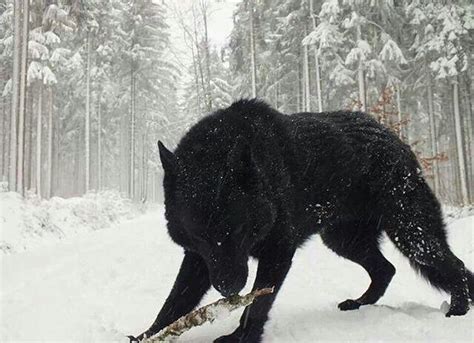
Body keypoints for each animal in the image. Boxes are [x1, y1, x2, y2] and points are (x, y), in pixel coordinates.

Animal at [129, 99, 470, 342]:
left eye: (238, 229)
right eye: (199, 235)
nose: (228, 289)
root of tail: (395, 139)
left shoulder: (277, 254)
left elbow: (256, 306)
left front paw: (242, 337)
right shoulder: (201, 260)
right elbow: (174, 302)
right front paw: (148, 335)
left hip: (413, 236)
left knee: (457, 266)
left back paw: (458, 310)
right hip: (344, 241)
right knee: (386, 269)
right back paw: (359, 303)